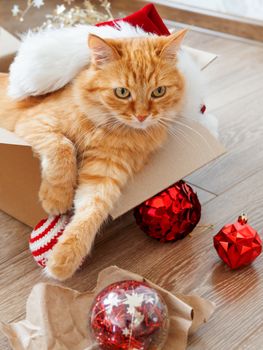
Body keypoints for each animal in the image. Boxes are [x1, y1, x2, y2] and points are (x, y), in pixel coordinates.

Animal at [0, 30, 187, 282]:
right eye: (122, 92)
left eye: (159, 92)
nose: (142, 117)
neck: (107, 128)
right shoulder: (36, 122)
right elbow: (63, 147)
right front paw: (56, 199)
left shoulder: (105, 172)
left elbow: (91, 212)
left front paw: (64, 259)